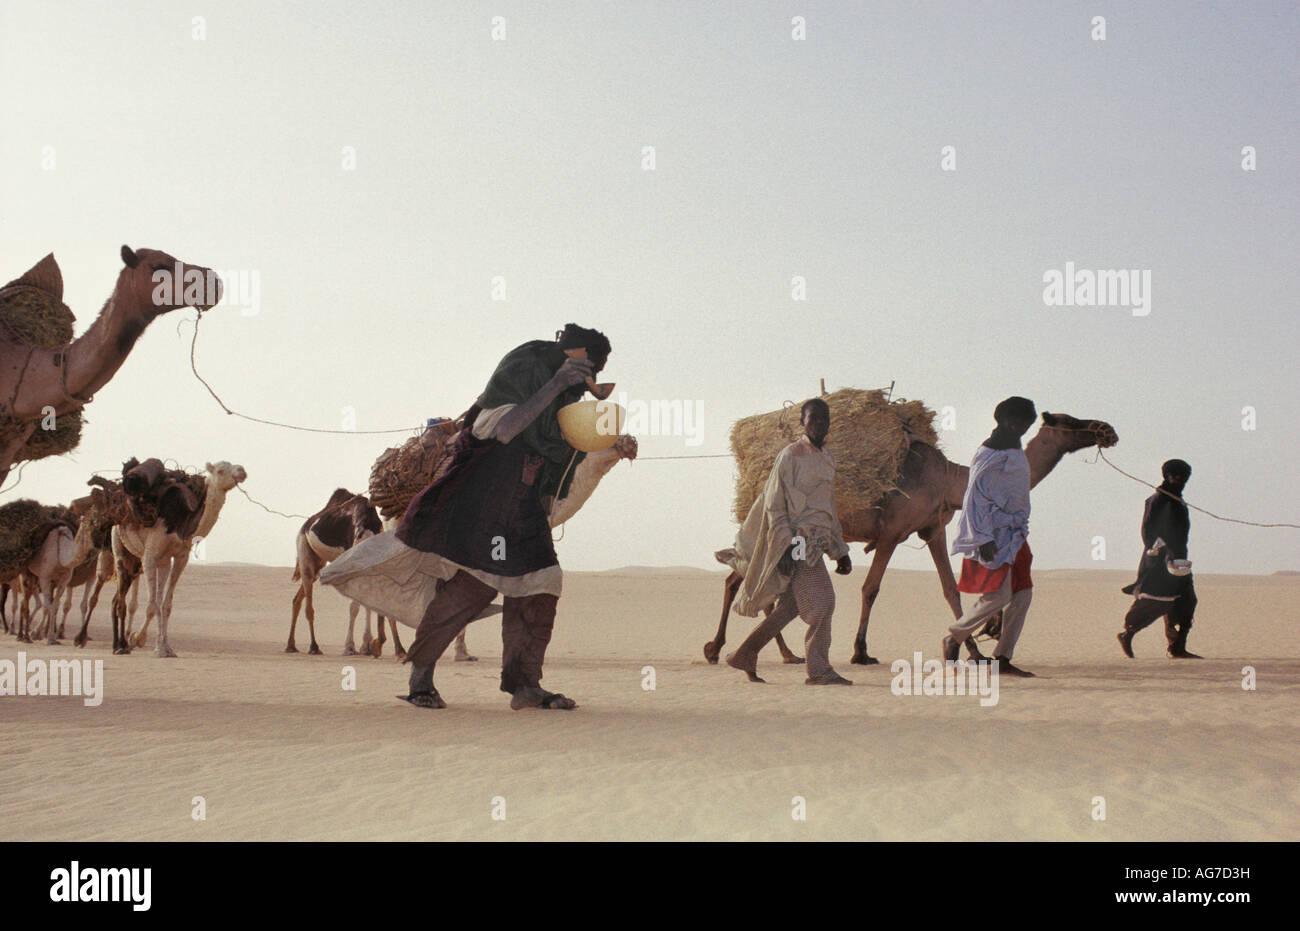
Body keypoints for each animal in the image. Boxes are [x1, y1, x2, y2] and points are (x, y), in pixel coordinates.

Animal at [289, 491, 405, 657]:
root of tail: (306, 525)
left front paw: (371, 646)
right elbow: (355, 607)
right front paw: (351, 647)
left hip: (319, 562)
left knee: (297, 599)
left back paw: (291, 645)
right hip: (304, 548)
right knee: (308, 602)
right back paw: (314, 646)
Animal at [702, 410, 1118, 665]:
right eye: (1068, 420)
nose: (1107, 430)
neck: (948, 480)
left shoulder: (933, 529)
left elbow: (950, 589)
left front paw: (972, 650)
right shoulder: (891, 532)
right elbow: (871, 587)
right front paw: (860, 651)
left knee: (745, 578)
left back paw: (775, 654)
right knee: (742, 577)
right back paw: (720, 649)